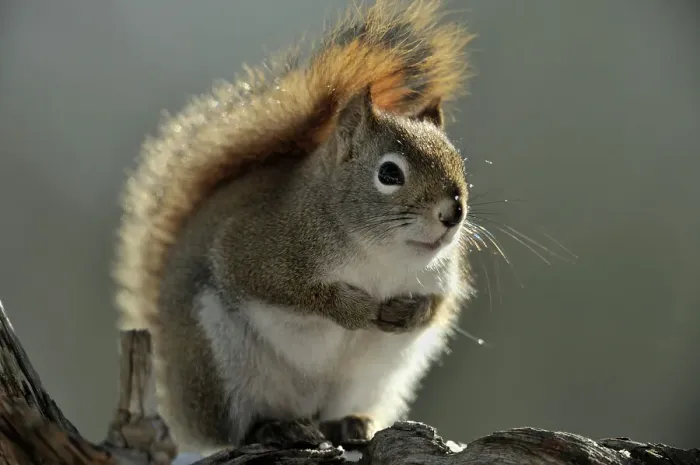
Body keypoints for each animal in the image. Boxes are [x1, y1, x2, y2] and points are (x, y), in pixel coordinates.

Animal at [113, 0, 476, 455]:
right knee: (233, 429)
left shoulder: (441, 279)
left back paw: (349, 424)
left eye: (458, 162)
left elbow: (438, 306)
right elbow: (289, 290)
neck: (381, 257)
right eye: (390, 173)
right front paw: (353, 308)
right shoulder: (255, 249)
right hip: (217, 363)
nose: (453, 213)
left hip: (372, 380)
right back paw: (273, 428)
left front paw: (410, 312)